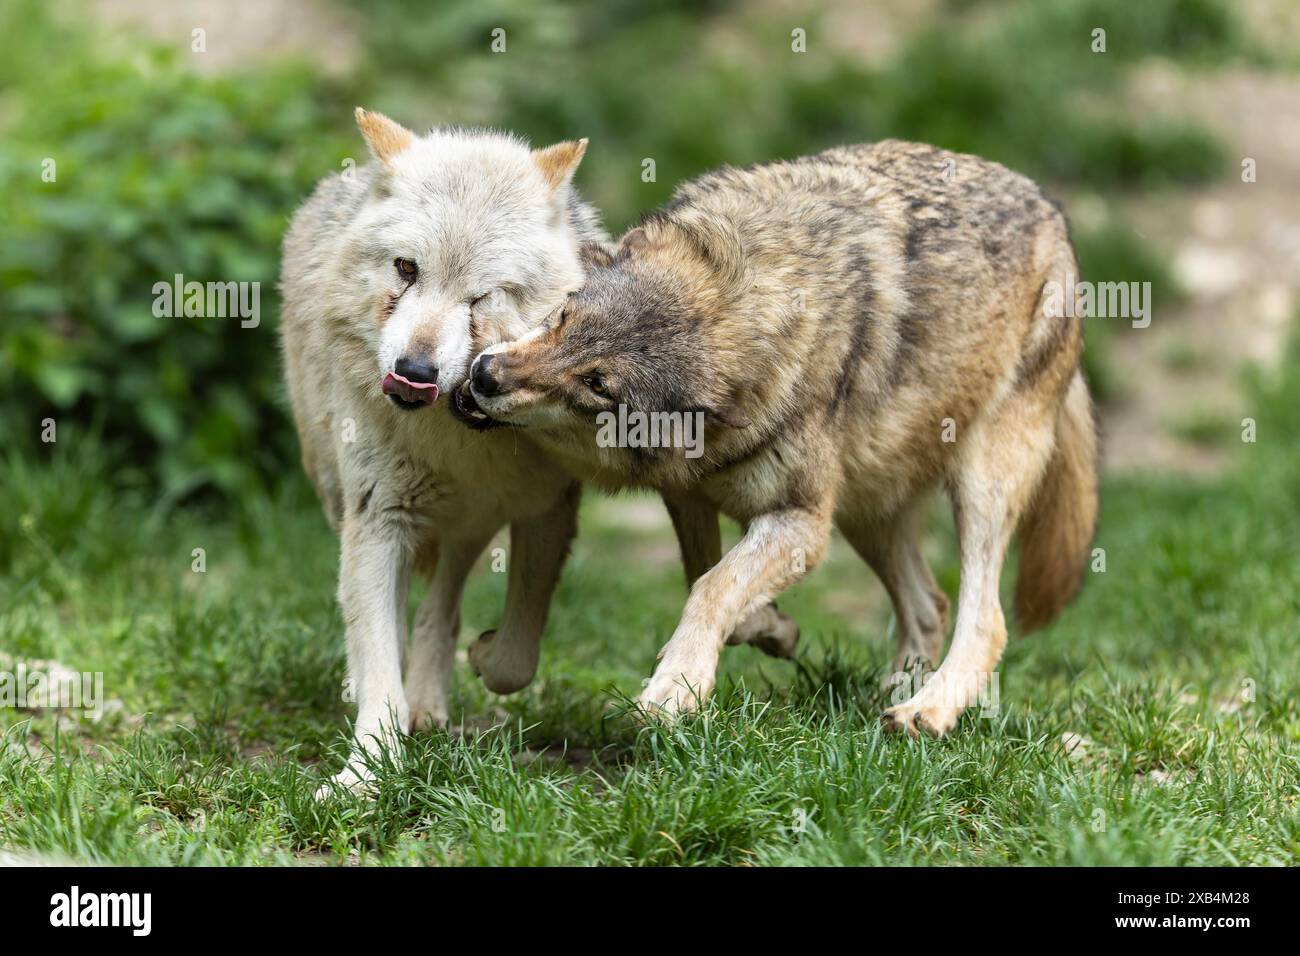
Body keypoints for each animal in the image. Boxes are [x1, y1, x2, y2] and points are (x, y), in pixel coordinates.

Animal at [280, 110, 795, 792]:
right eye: (406, 269)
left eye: (481, 296)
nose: (413, 371)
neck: (458, 440)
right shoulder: (378, 520)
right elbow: (379, 663)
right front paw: (365, 774)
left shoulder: (547, 508)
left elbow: (516, 660)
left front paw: (480, 660)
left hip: (471, 526)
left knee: (441, 610)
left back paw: (430, 704)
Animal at [461, 140, 1099, 736]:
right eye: (564, 317)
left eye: (597, 385)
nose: (484, 376)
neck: (752, 300)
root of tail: (1048, 205)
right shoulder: (689, 494)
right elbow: (708, 576)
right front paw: (769, 628)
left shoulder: (801, 523)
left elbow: (713, 587)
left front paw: (677, 687)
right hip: (865, 509)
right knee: (927, 604)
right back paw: (888, 696)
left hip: (975, 488)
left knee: (985, 618)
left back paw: (927, 710)